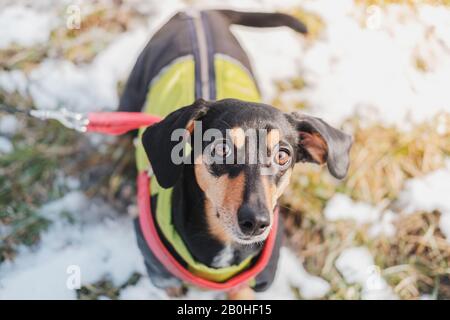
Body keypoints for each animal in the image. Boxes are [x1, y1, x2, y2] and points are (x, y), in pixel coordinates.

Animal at [118, 10, 352, 300]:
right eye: (221, 148)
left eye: (283, 156)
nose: (256, 222)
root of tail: (198, 12)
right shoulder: (162, 276)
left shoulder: (246, 286)